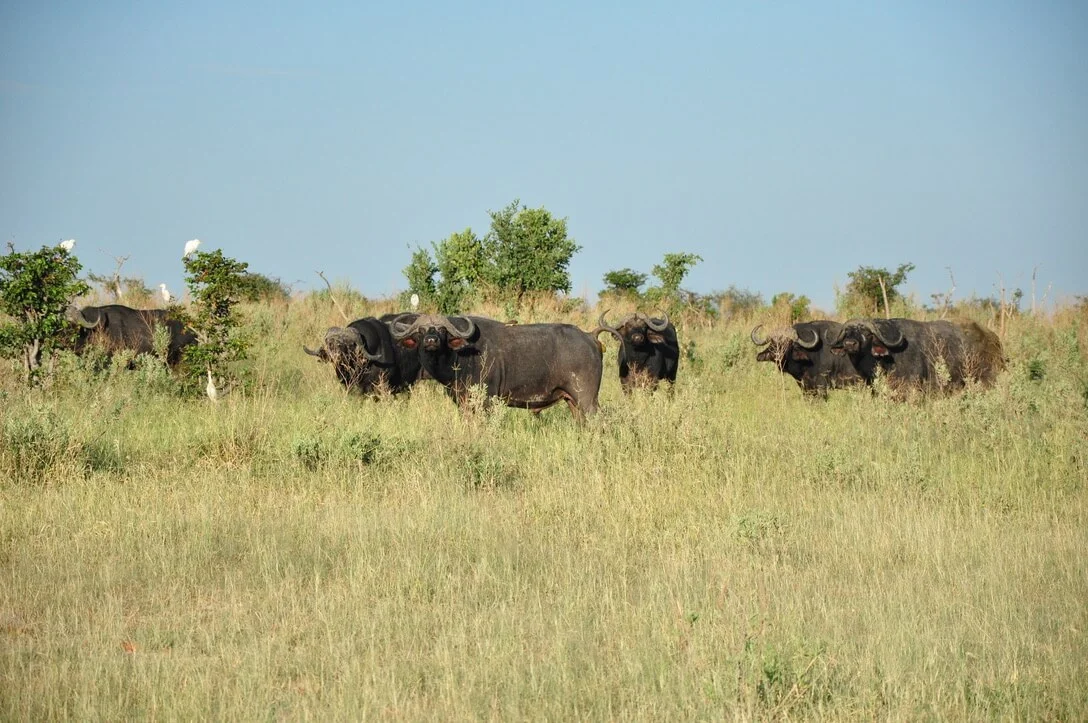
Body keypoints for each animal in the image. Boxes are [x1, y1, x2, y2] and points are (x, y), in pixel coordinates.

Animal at [389, 314, 603, 422]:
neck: (460, 357)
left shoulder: (487, 401)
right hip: (572, 401)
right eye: (421, 331)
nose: (431, 341)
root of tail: (590, 337)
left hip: (587, 400)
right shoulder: (464, 403)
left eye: (442, 330)